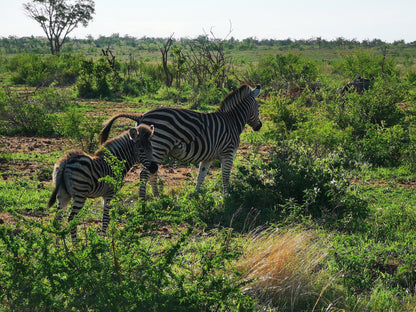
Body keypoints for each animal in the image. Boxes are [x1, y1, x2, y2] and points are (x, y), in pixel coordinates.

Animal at [98, 84, 262, 199]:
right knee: (145, 174)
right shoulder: (228, 153)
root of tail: (141, 116)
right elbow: (225, 176)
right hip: (158, 146)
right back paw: (142, 200)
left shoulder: (208, 157)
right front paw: (227, 197)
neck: (232, 121)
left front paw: (195, 195)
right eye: (259, 107)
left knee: (152, 173)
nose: (259, 126)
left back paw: (157, 197)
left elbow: (201, 176)